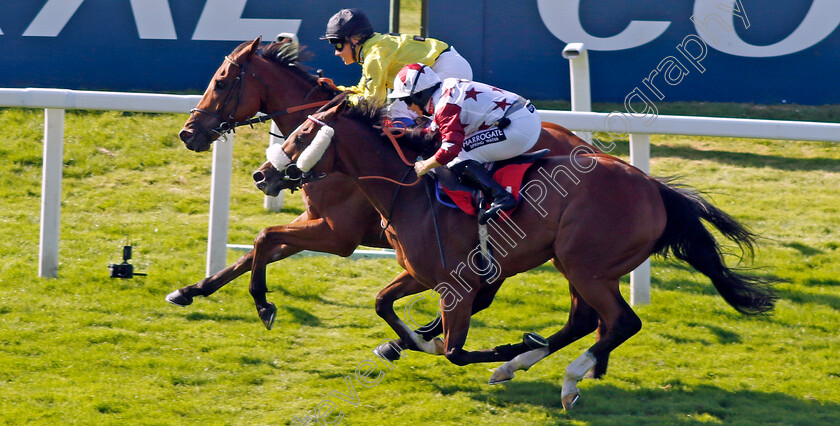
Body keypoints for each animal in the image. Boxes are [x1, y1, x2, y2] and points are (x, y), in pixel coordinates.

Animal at [172, 36, 616, 376]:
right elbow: (253, 252)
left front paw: (263, 305)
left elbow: (264, 239)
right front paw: (190, 290)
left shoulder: (336, 233)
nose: (188, 132)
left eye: (222, 82)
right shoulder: (316, 221)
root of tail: (585, 147)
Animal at [254, 95, 776, 408]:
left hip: (587, 267)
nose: (262, 175)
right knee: (585, 321)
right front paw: (411, 341)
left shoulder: (456, 286)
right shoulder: (420, 273)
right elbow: (384, 304)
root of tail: (654, 187)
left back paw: (562, 375)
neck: (406, 187)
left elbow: (456, 351)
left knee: (622, 322)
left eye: (304, 135)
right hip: (574, 265)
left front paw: (493, 347)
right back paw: (528, 363)